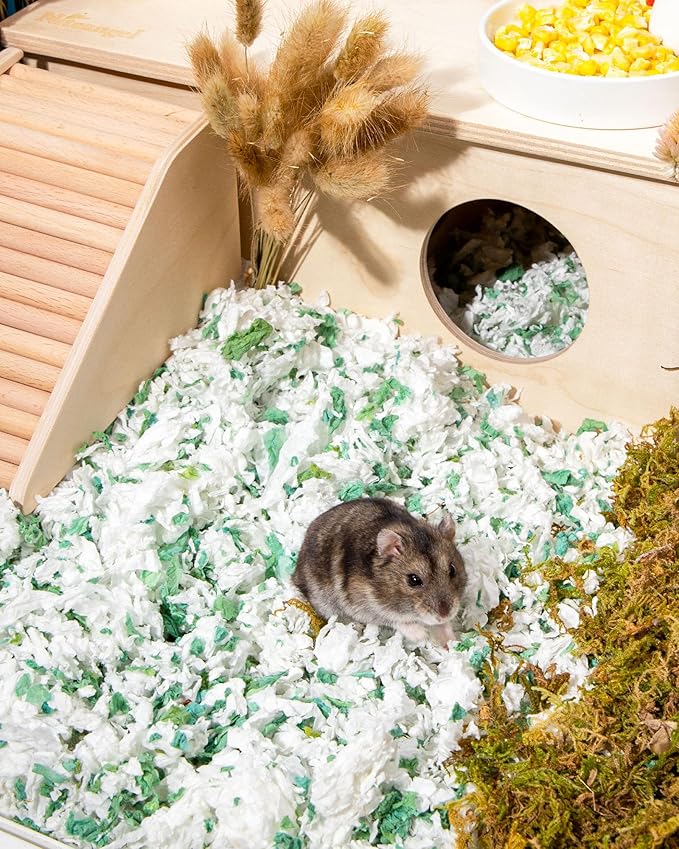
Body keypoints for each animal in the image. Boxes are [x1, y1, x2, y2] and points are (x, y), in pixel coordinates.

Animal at [292, 497, 467, 645]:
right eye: (413, 580)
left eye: (452, 570)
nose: (444, 615)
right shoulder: (367, 606)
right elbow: (397, 620)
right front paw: (422, 635)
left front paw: (451, 641)